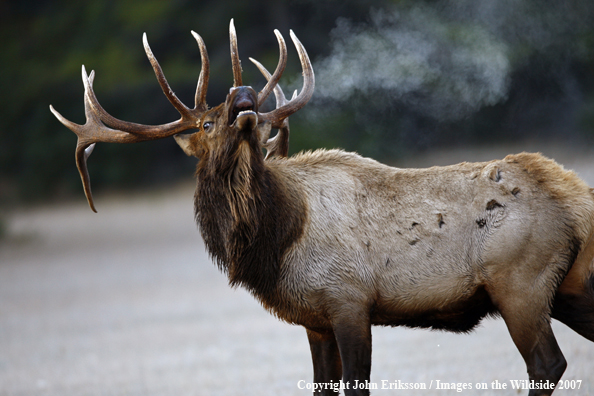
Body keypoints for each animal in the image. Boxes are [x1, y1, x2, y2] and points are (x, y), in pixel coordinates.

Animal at [52, 19, 592, 396]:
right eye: (205, 123)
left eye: (255, 121)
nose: (244, 94)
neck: (278, 241)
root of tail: (574, 196)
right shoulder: (314, 319)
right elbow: (322, 388)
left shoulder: (349, 300)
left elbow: (355, 385)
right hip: (569, 286)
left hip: (519, 283)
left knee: (546, 364)